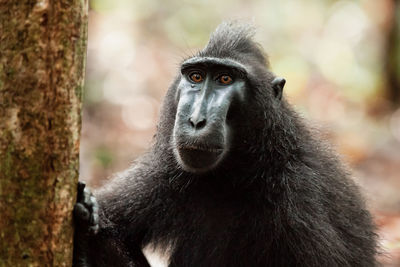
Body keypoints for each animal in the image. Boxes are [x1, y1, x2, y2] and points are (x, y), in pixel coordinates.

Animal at [74, 22, 378, 266]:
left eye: (225, 79)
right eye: (196, 77)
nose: (196, 120)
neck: (235, 175)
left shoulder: (300, 196)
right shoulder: (162, 174)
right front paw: (86, 220)